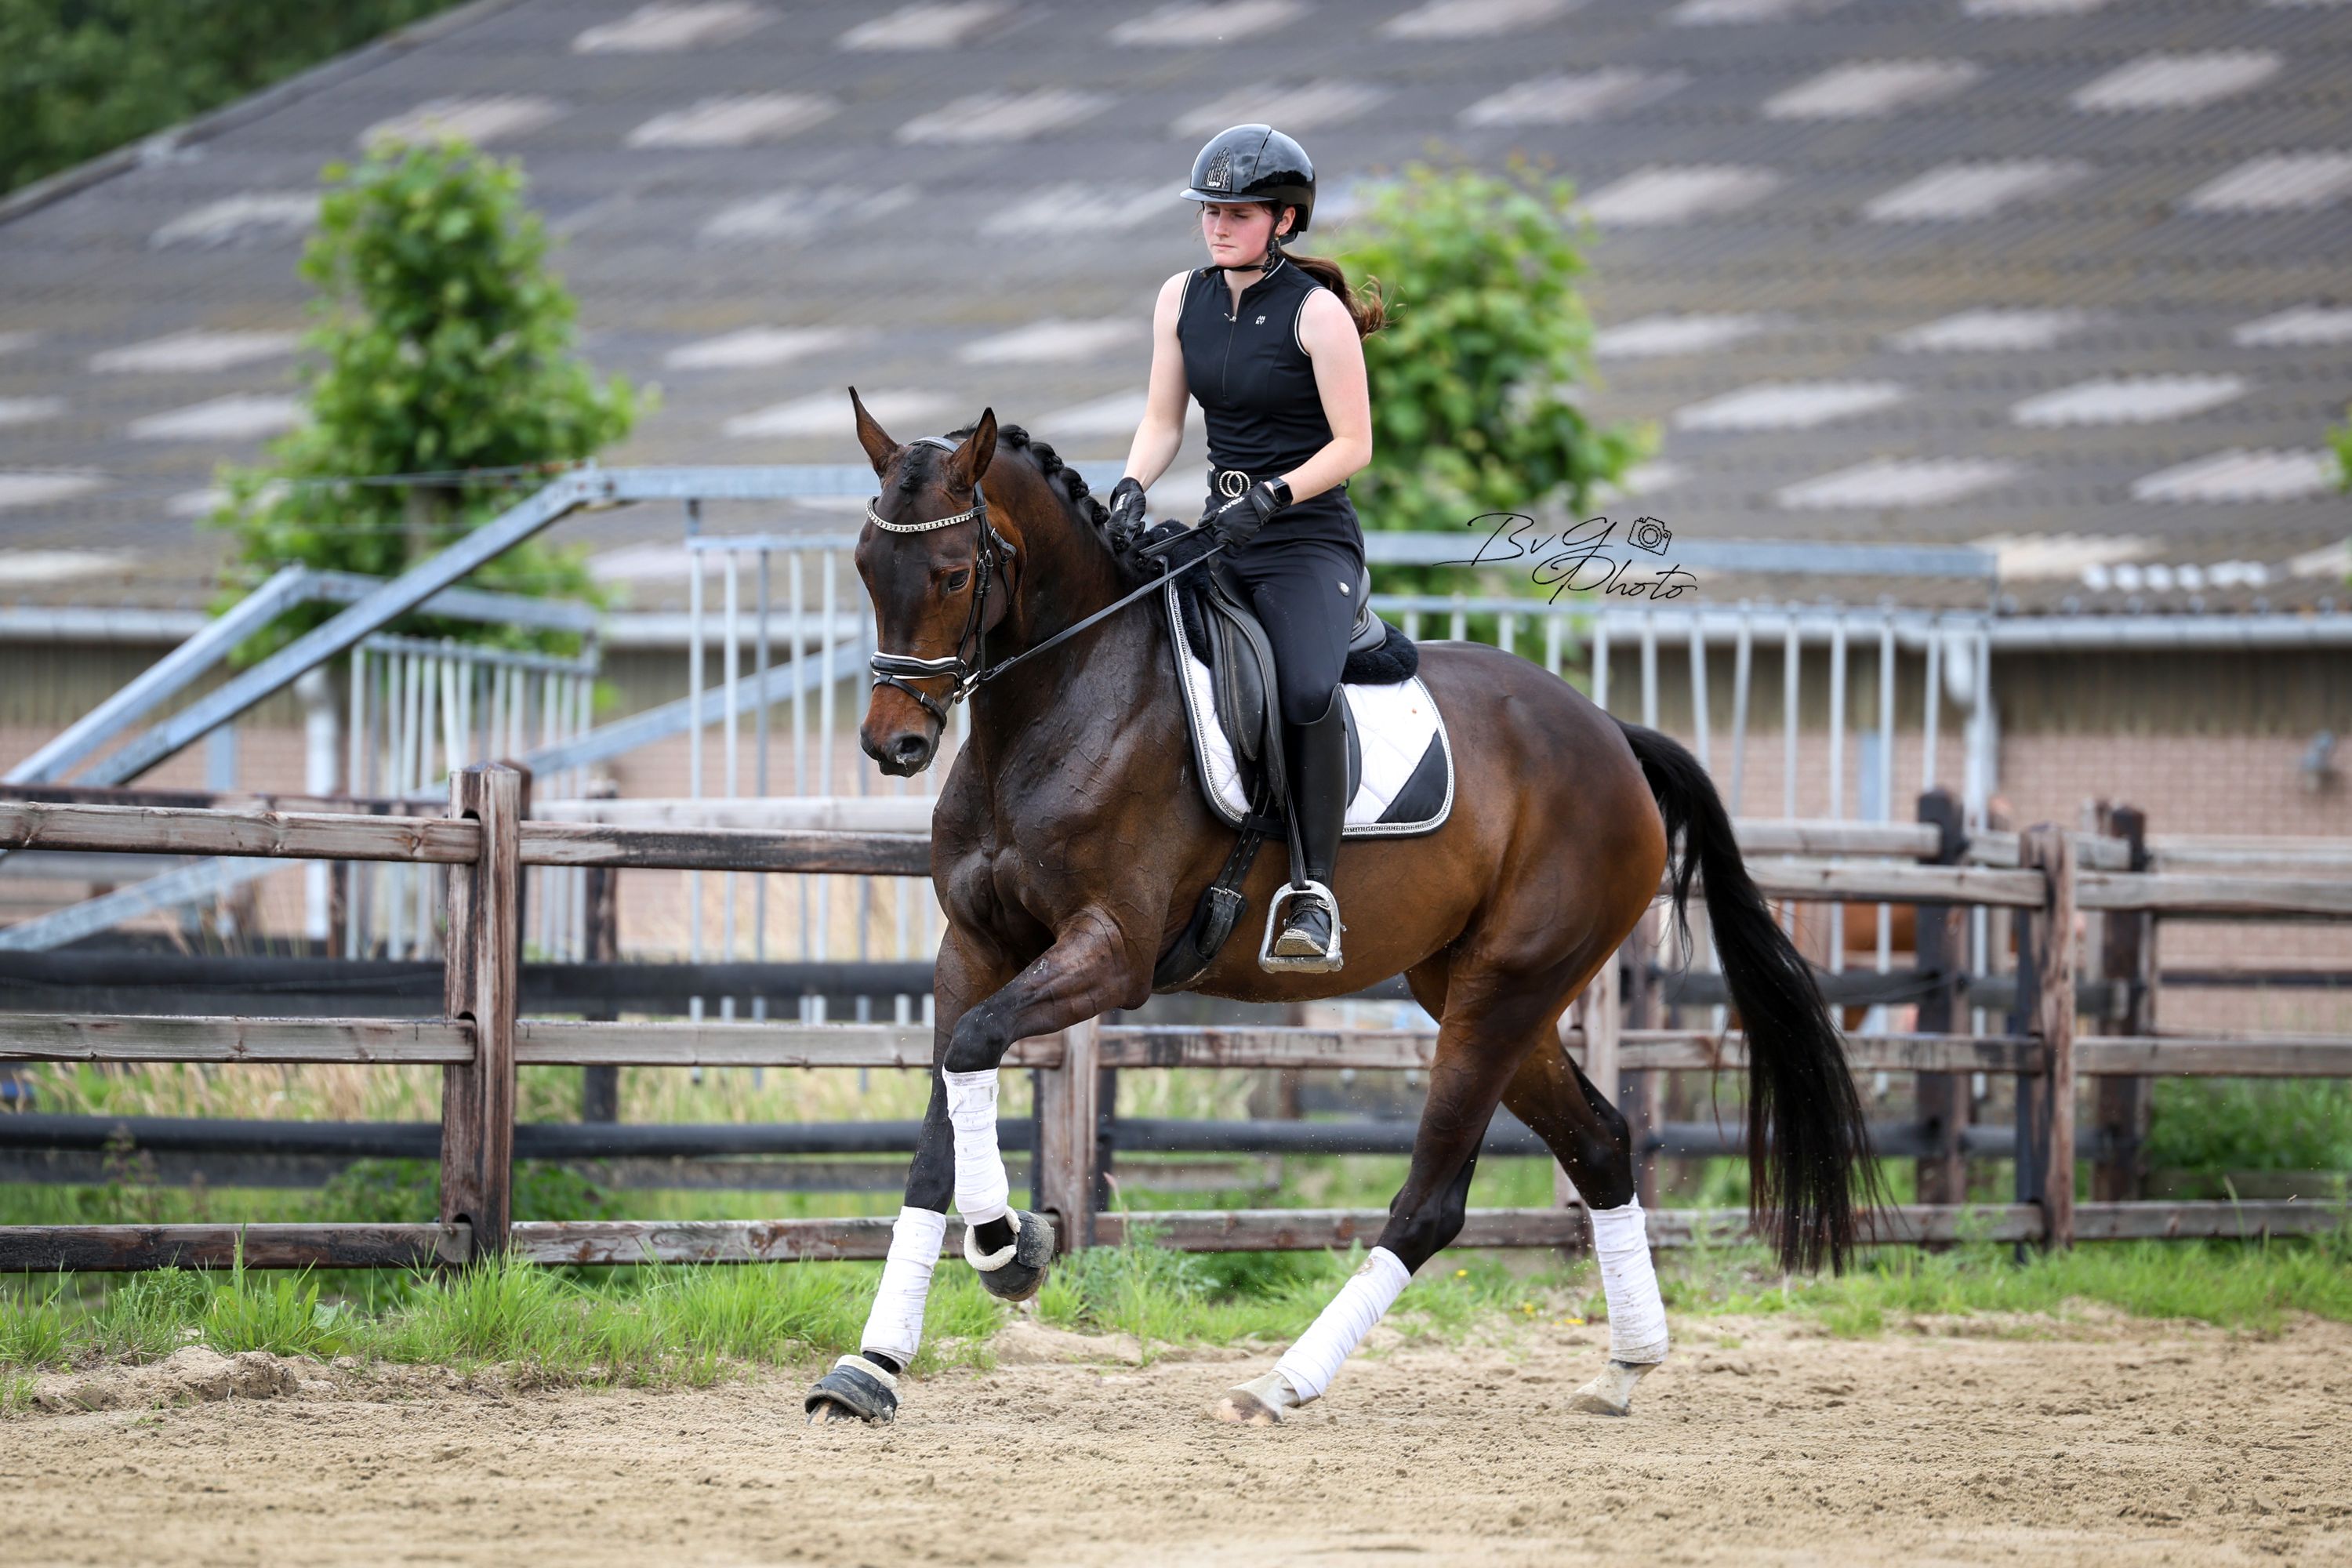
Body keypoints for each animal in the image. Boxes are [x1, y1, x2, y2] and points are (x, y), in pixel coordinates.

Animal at [806, 394, 1874, 1426]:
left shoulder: (1112, 951)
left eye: (953, 574)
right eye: (865, 565)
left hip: (1505, 990)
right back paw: (1623, 1366)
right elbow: (939, 1125)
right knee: (1604, 1147)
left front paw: (1005, 1243)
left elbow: (976, 1048)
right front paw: (872, 1364)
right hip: (1485, 990)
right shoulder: (975, 948)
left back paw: (1282, 1381)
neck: (1062, 699)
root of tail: (1610, 732)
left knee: (1433, 1201)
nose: (893, 743)